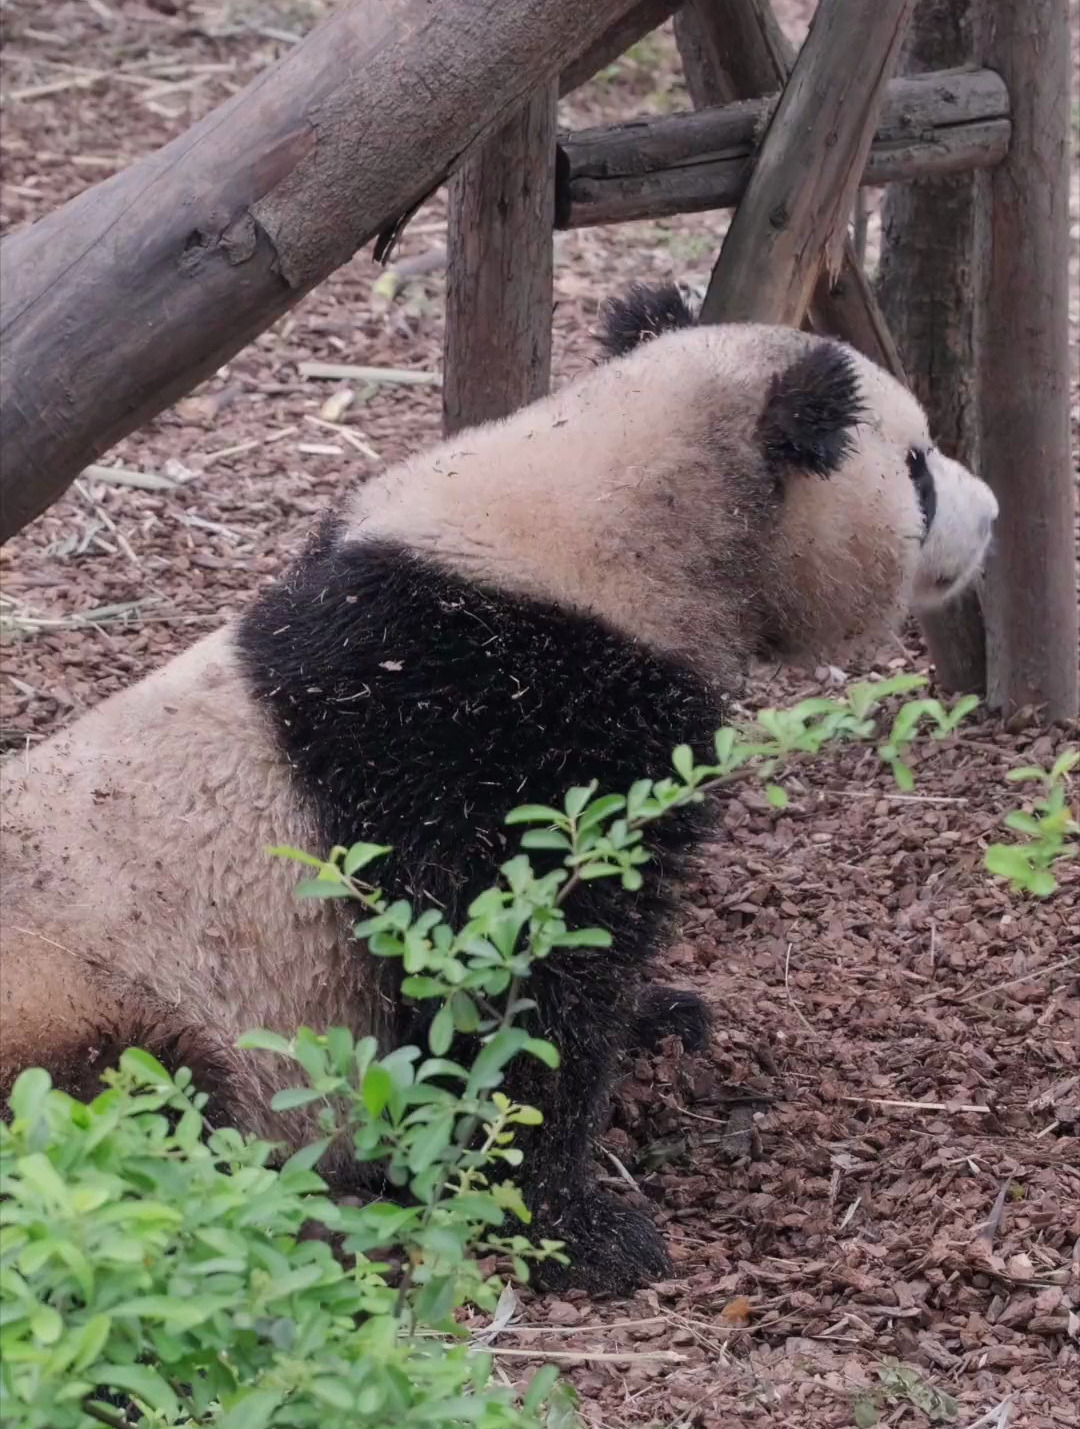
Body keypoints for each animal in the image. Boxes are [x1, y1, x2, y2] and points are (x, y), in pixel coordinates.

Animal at [0, 295, 994, 1303]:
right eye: (916, 467)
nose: (990, 515)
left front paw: (659, 1015)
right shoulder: (490, 721)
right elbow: (505, 971)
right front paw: (583, 1229)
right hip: (76, 995)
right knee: (131, 1116)